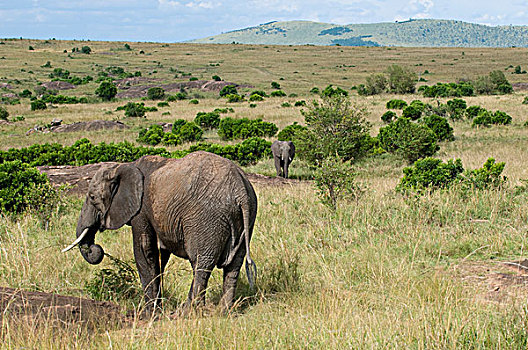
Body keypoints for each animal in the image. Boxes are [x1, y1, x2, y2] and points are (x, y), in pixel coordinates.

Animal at [62, 152, 258, 314]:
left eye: (92, 197)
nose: (94, 248)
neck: (122, 166)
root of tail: (240, 189)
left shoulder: (141, 210)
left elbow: (144, 250)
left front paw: (150, 313)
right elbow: (160, 255)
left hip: (206, 219)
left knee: (201, 263)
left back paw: (189, 313)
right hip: (246, 218)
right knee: (233, 265)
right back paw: (223, 312)